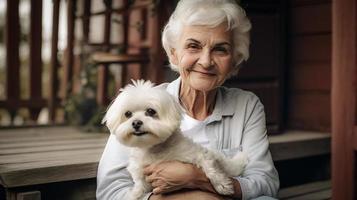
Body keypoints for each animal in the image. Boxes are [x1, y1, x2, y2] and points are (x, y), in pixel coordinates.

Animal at [102, 80, 248, 200]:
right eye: (127, 114)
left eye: (151, 111)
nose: (136, 123)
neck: (155, 149)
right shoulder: (141, 174)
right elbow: (139, 187)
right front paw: (134, 194)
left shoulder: (197, 154)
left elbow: (210, 168)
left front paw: (222, 185)